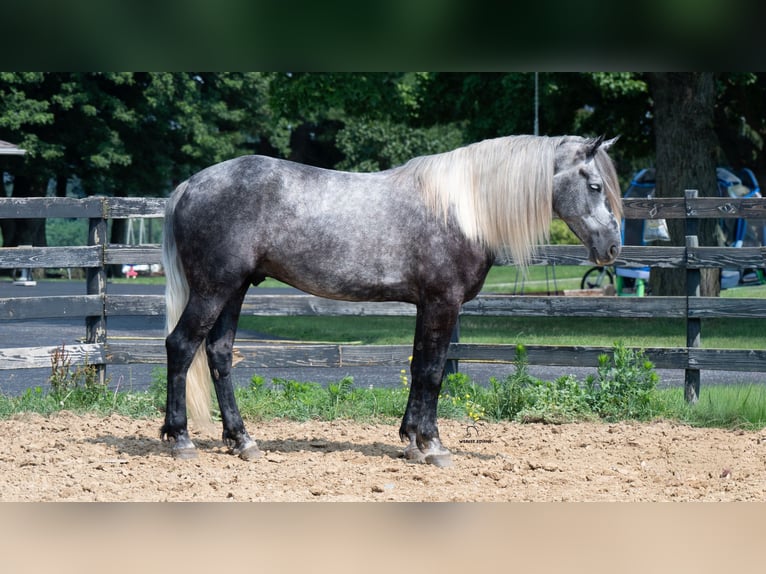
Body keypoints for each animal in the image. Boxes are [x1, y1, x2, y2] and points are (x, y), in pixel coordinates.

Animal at [160, 134, 622, 466]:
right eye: (595, 185)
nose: (612, 248)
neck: (462, 210)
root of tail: (188, 186)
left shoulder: (426, 306)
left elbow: (419, 368)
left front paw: (412, 441)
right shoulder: (443, 303)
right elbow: (433, 372)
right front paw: (433, 446)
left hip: (235, 288)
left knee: (219, 354)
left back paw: (242, 441)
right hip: (214, 289)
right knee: (181, 346)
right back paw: (181, 440)